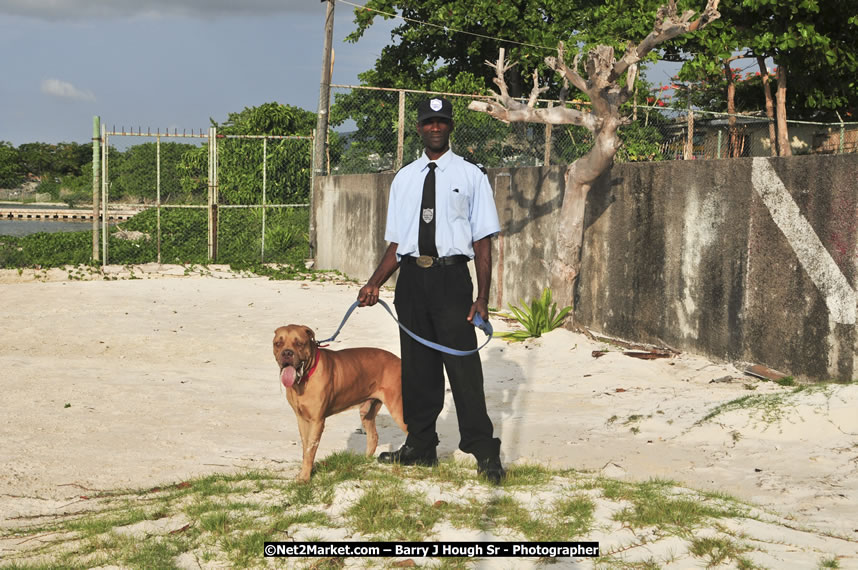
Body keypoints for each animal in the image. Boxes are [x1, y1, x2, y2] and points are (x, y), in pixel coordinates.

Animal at [274, 324, 408, 480]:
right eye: (278, 343)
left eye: (299, 343)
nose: (287, 353)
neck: (304, 378)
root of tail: (398, 360)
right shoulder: (302, 419)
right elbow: (305, 449)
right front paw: (305, 473)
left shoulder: (317, 421)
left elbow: (310, 450)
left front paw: (305, 478)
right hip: (367, 411)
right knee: (373, 436)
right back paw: (364, 461)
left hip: (398, 409)